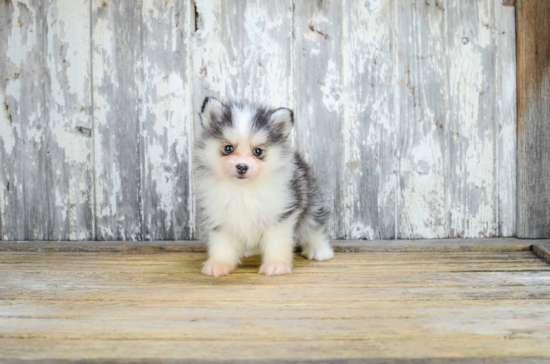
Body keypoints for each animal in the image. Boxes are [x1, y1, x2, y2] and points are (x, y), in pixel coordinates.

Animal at [194, 96, 334, 276]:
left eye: (258, 151)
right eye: (228, 148)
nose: (242, 167)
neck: (243, 189)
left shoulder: (279, 214)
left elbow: (277, 242)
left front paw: (276, 265)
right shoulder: (220, 214)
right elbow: (221, 243)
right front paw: (219, 264)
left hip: (311, 202)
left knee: (314, 227)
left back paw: (320, 250)